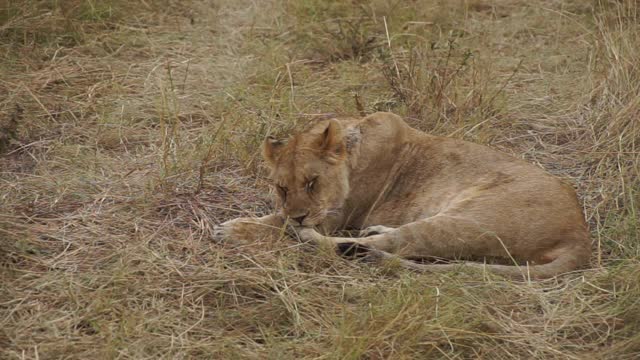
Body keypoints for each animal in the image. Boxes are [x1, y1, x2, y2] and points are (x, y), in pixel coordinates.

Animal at [214, 112, 592, 278]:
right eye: (281, 187)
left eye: (312, 182)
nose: (300, 216)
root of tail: (580, 234)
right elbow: (278, 214)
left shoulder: (334, 216)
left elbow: (276, 222)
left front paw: (234, 228)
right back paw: (372, 230)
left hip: (467, 220)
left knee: (393, 245)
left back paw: (320, 239)